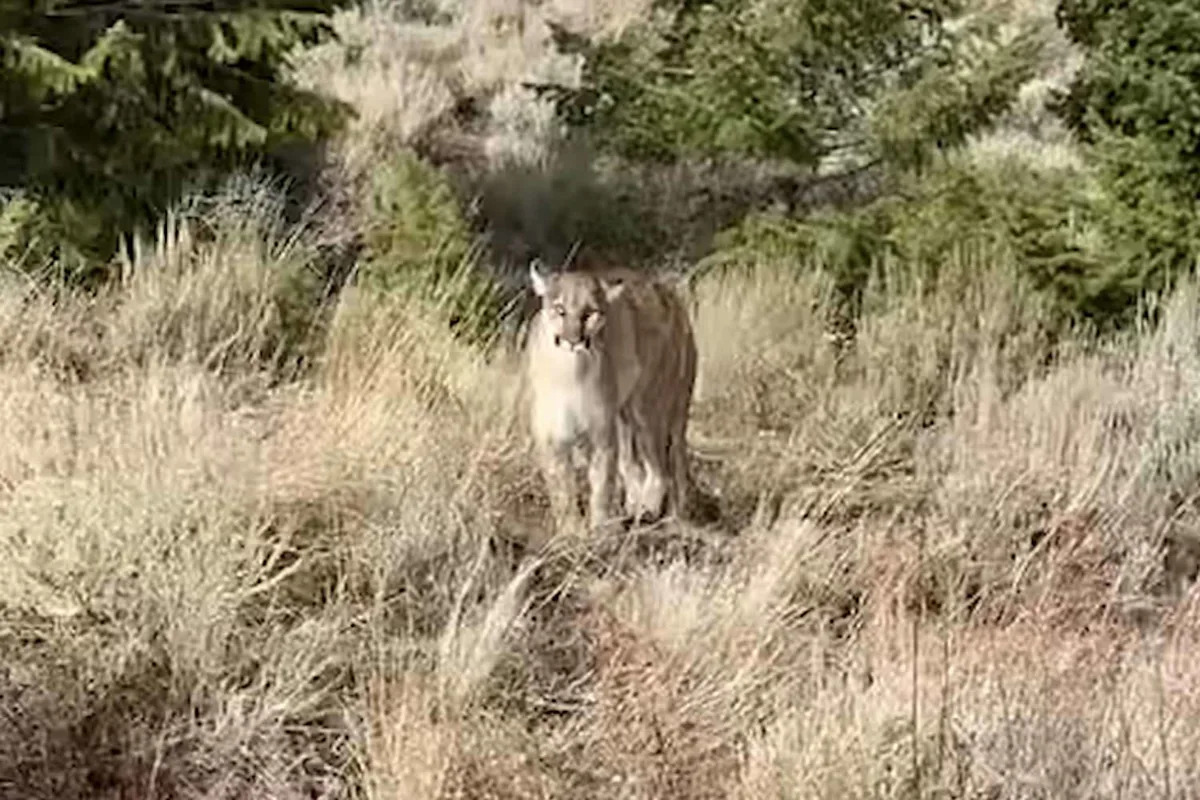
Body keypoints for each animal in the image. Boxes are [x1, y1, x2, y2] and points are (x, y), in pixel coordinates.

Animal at [525, 260, 697, 537]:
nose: (573, 341)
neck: (570, 372)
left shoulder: (602, 435)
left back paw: (650, 511)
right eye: (560, 309)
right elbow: (561, 487)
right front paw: (570, 530)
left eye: (590, 313)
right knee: (635, 466)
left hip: (648, 409)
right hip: (624, 417)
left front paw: (599, 529)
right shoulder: (551, 434)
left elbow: (602, 484)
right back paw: (640, 509)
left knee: (662, 469)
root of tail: (667, 293)